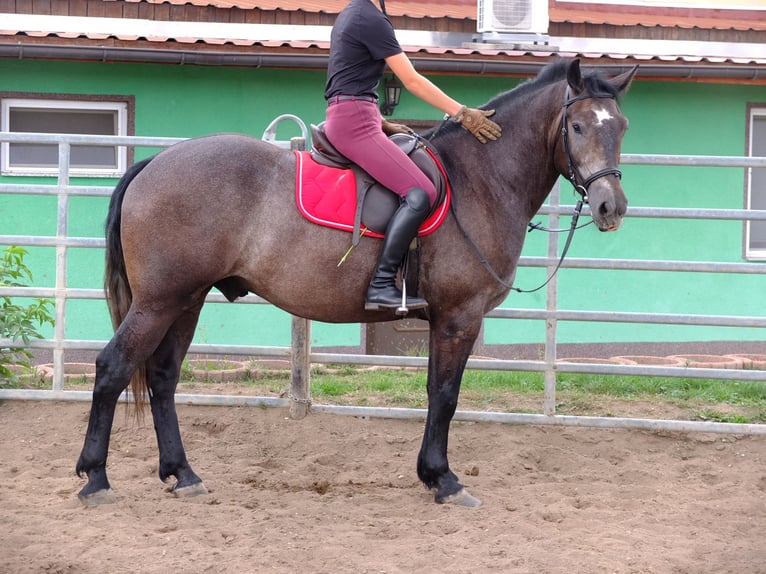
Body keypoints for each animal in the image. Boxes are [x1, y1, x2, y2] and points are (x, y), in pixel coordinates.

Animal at [75, 58, 640, 508]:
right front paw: (445, 480)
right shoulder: (459, 317)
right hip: (159, 301)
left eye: (622, 127)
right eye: (578, 126)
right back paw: (95, 478)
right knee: (113, 369)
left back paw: (183, 474)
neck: (479, 179)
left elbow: (434, 392)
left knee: (164, 377)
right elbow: (446, 396)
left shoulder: (442, 321)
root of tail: (155, 161)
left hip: (186, 301)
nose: (610, 207)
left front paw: (430, 475)